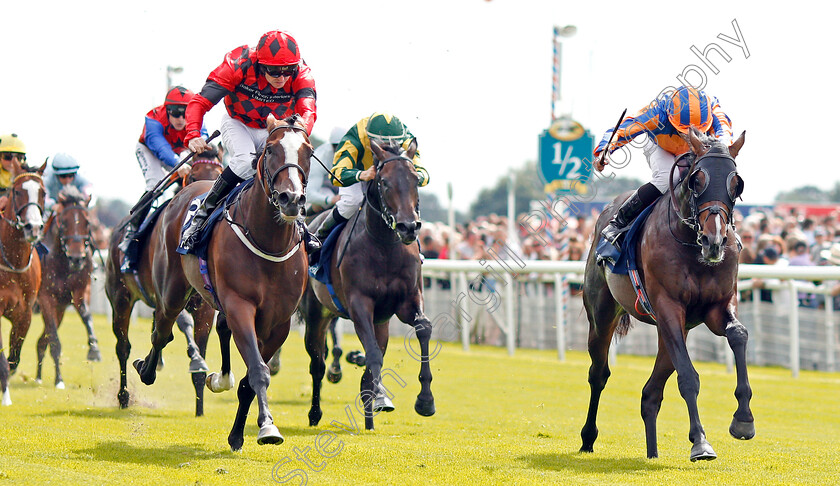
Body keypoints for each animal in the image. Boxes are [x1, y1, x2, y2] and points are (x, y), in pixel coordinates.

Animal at [35, 186, 100, 388]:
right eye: (63, 222)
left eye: (87, 223)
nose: (77, 258)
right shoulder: (45, 298)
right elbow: (55, 341)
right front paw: (59, 381)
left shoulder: (76, 295)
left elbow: (87, 317)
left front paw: (94, 349)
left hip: (60, 311)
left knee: (41, 341)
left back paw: (37, 375)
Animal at [135, 113, 312, 448]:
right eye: (271, 150)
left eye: (307, 152)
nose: (291, 199)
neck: (269, 241)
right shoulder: (240, 305)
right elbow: (257, 370)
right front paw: (268, 427)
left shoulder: (278, 322)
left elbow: (250, 378)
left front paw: (241, 432)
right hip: (172, 291)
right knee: (161, 332)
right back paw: (146, 369)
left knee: (215, 328)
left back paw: (219, 377)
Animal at [300, 139, 434, 430]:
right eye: (384, 182)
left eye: (415, 179)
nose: (409, 227)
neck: (384, 246)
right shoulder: (360, 304)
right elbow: (372, 355)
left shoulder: (407, 300)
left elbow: (423, 328)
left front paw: (425, 401)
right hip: (316, 313)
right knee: (317, 364)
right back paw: (314, 414)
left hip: (380, 321)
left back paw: (371, 418)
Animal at [580, 127, 752, 462]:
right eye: (697, 180)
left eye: (736, 183)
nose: (714, 241)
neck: (691, 244)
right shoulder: (668, 306)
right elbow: (688, 377)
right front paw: (701, 442)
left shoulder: (717, 306)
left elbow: (738, 334)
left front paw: (743, 420)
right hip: (603, 316)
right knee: (598, 374)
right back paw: (587, 438)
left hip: (672, 330)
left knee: (651, 393)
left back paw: (652, 452)